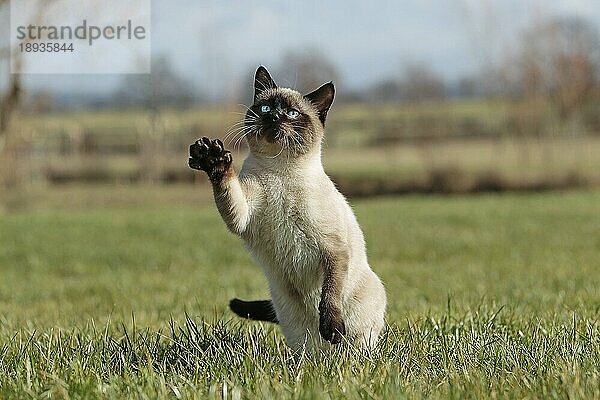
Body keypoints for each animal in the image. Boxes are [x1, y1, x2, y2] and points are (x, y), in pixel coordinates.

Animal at [188, 66, 386, 354]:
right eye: (266, 108)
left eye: (292, 113)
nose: (275, 116)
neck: (280, 170)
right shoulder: (243, 213)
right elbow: (226, 185)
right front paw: (211, 158)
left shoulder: (333, 248)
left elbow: (329, 294)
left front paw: (331, 327)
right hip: (292, 322)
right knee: (308, 350)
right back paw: (310, 360)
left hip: (361, 320)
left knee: (353, 347)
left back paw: (343, 351)